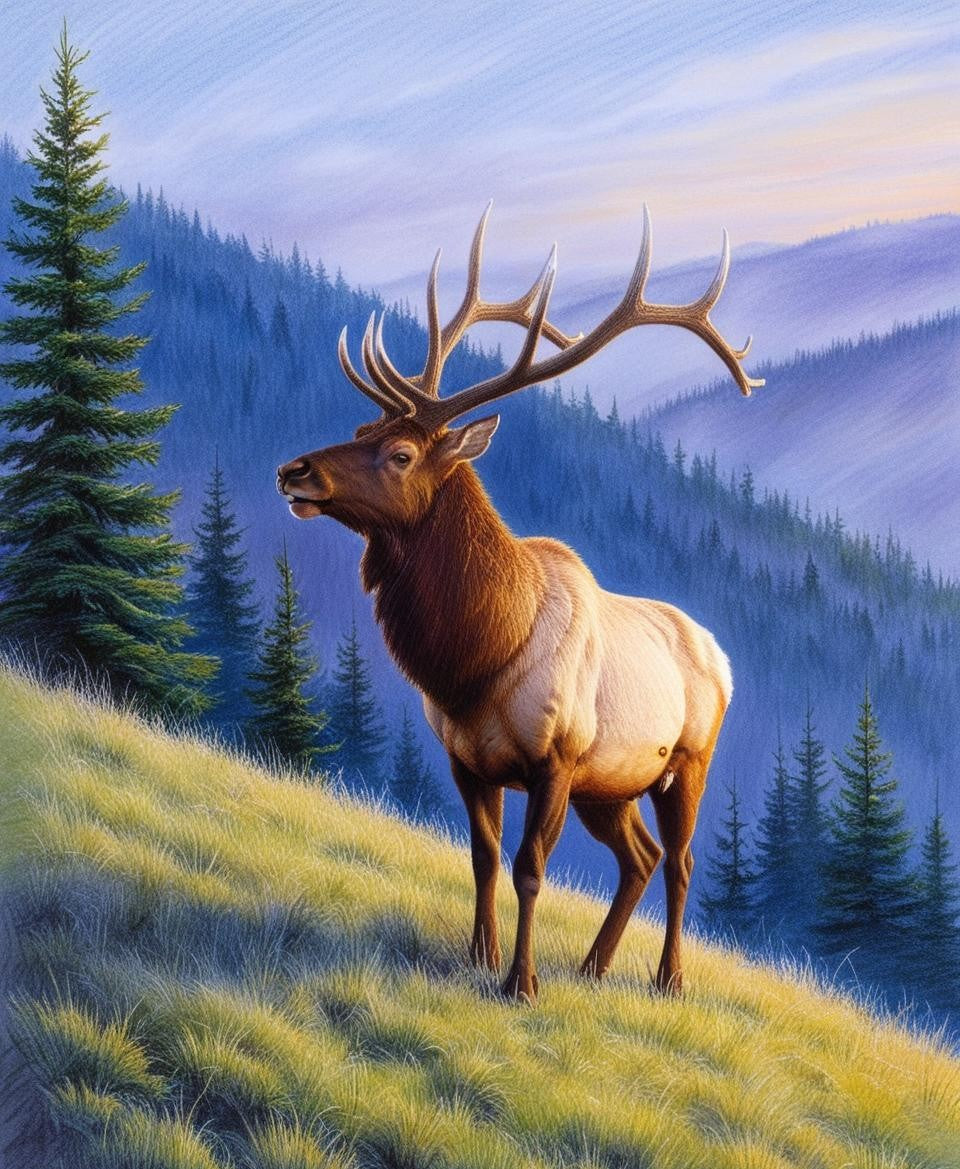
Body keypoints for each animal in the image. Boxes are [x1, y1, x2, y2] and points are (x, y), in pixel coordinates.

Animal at [277, 204, 762, 1002]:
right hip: (612, 784)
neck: (477, 659)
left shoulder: (556, 758)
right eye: (360, 430)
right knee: (641, 855)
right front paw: (477, 956)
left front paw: (521, 982)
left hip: (687, 759)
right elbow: (482, 857)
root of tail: (723, 656)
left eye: (401, 454)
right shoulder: (465, 758)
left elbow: (530, 868)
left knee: (683, 860)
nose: (294, 468)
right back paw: (594, 965)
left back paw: (666, 979)